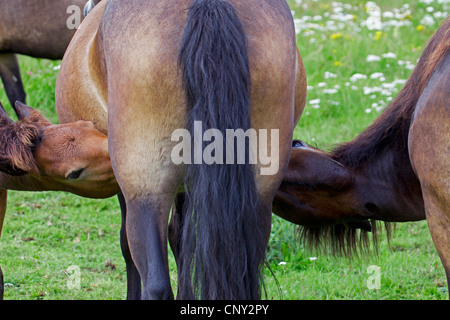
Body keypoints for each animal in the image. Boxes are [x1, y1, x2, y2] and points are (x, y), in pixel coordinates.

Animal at [53, 0, 306, 300]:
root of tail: (210, 7)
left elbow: (128, 246)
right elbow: (181, 242)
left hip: (146, 189)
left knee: (155, 282)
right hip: (258, 193)